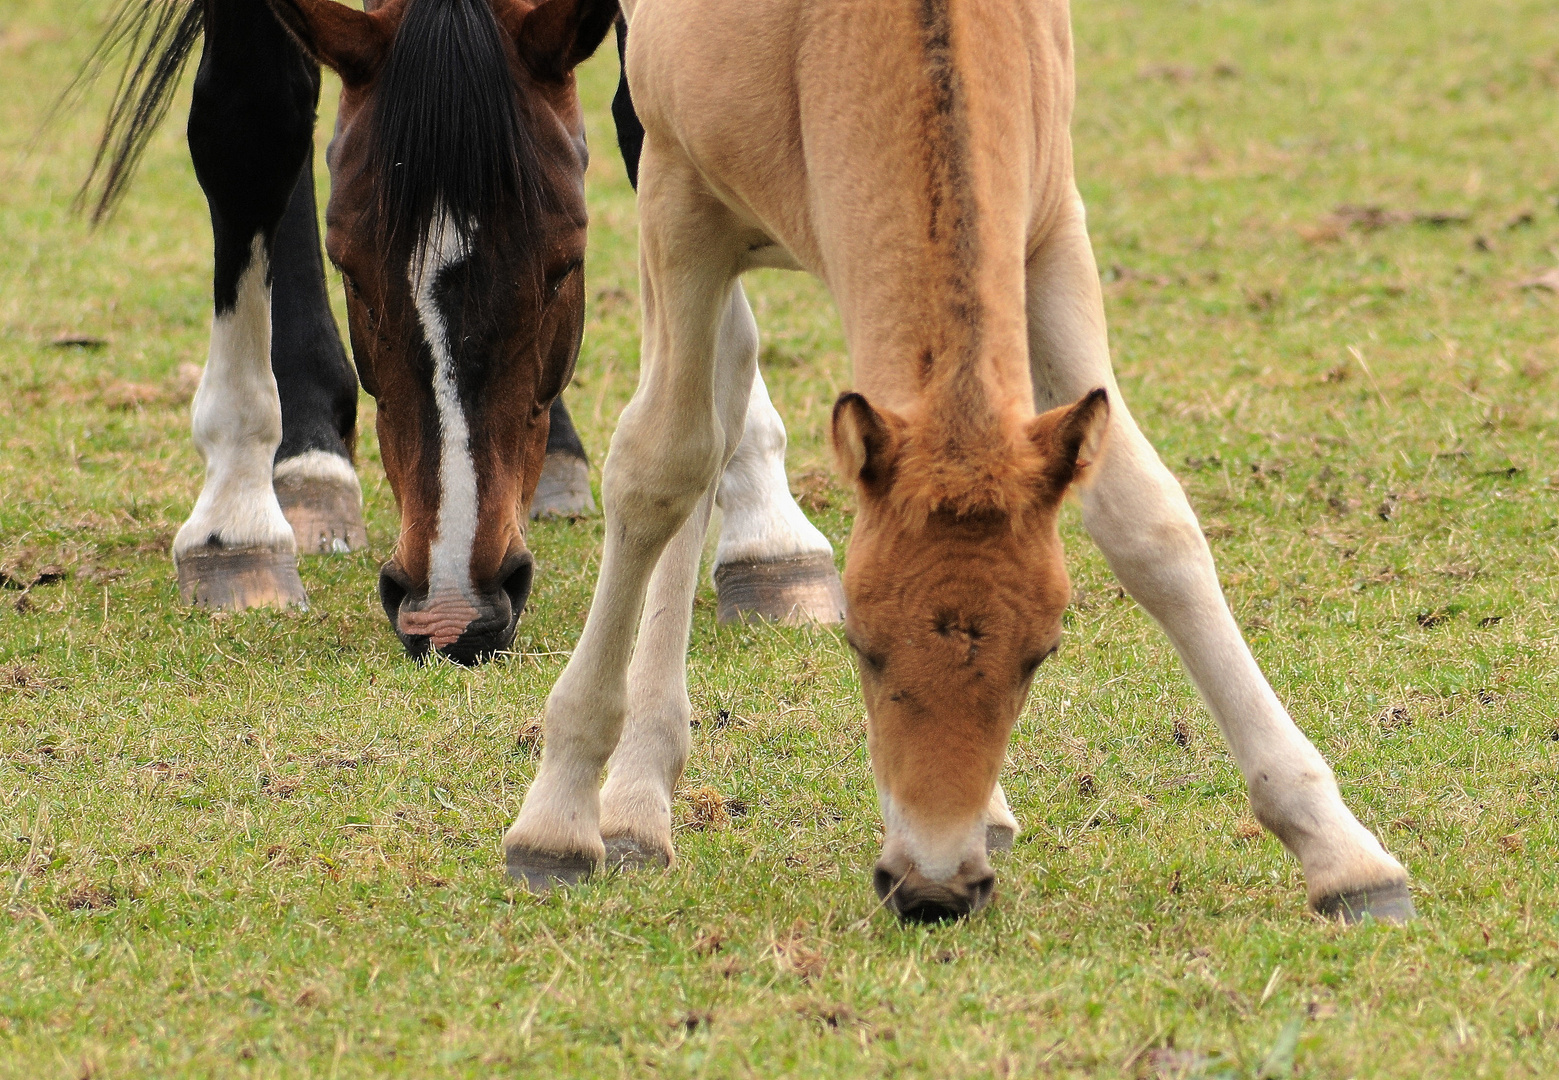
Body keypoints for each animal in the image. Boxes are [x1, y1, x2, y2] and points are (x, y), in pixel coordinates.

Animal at [505, 0, 1421, 928]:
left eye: (1041, 654)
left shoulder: (1050, 231)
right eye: (860, 645)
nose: (936, 887)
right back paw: (633, 799)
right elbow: (660, 464)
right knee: (700, 414)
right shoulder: (678, 196)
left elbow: (1145, 516)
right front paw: (559, 818)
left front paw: (1339, 850)